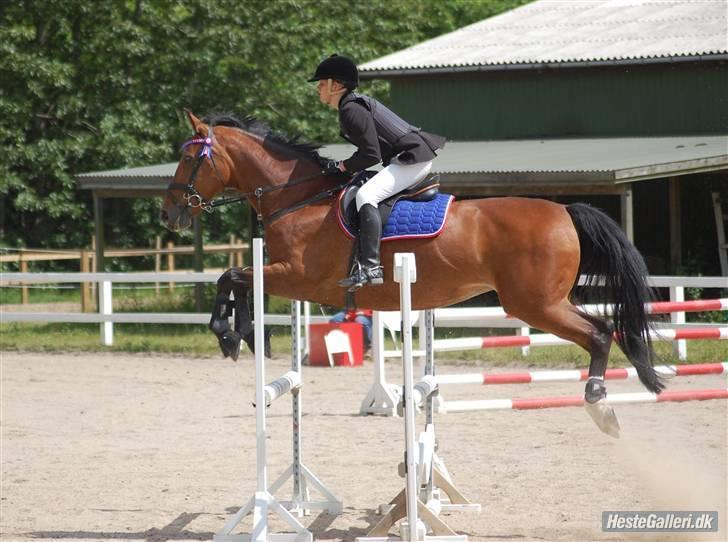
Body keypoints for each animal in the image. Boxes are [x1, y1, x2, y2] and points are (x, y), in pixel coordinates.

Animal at [164, 110, 664, 438]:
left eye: (189, 160)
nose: (171, 214)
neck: (299, 197)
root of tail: (565, 211)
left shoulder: (299, 277)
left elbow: (232, 276)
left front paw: (232, 333)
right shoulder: (286, 276)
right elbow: (236, 279)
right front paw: (244, 336)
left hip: (536, 304)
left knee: (600, 333)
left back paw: (600, 404)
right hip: (547, 301)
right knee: (605, 330)